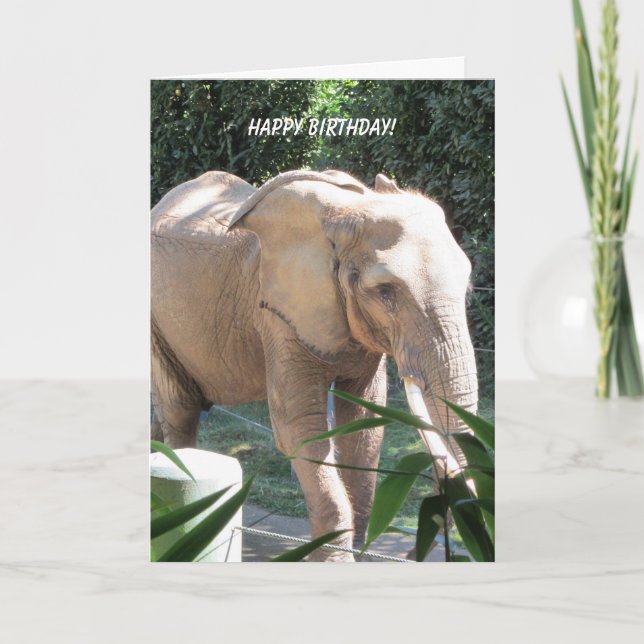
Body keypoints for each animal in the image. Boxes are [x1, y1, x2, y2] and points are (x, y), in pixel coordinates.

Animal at [151, 169, 478, 561]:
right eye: (385, 292)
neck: (350, 211)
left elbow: (364, 426)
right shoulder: (280, 314)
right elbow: (300, 428)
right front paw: (336, 560)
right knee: (179, 408)